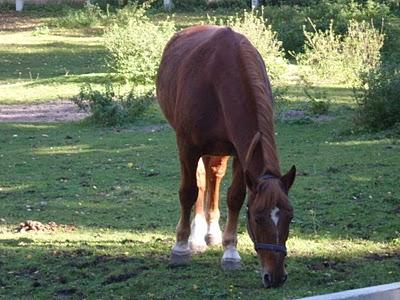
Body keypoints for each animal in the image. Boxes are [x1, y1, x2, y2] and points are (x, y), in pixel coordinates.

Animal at [156, 24, 296, 288]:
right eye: (258, 218)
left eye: (290, 217)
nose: (275, 277)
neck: (219, 77)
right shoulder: (187, 146)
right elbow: (188, 192)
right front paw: (180, 248)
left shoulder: (240, 152)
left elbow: (235, 197)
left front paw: (230, 252)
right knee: (201, 181)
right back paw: (196, 236)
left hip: (218, 150)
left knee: (214, 177)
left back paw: (211, 232)